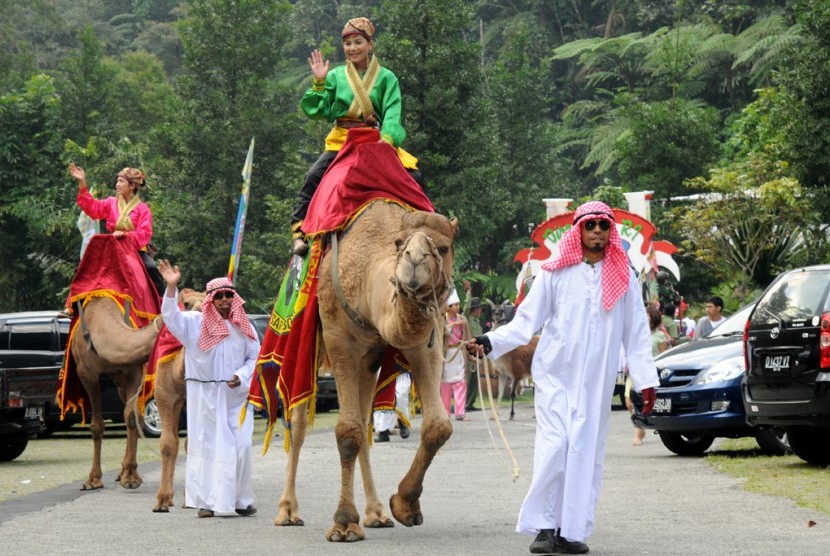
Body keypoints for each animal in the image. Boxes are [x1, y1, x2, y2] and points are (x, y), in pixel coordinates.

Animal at [69, 298, 162, 488]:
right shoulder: (87, 374)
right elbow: (96, 425)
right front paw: (93, 480)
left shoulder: (133, 370)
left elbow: (131, 416)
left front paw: (131, 477)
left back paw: (124, 472)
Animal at [282, 201, 458, 544]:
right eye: (399, 243)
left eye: (443, 247)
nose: (414, 259)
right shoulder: (339, 341)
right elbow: (347, 431)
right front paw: (343, 523)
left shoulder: (423, 343)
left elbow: (438, 426)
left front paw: (403, 505)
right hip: (304, 351)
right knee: (297, 422)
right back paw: (287, 511)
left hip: (369, 362)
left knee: (366, 422)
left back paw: (376, 514)